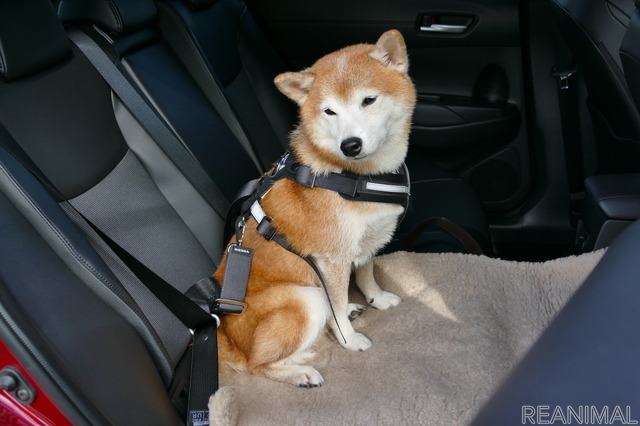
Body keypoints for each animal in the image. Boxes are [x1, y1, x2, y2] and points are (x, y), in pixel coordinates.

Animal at [214, 29, 417, 387]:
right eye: (329, 112)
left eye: (368, 100)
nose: (350, 145)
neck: (359, 177)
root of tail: (225, 334)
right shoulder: (331, 260)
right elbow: (337, 303)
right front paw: (349, 340)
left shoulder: (366, 242)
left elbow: (366, 275)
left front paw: (376, 298)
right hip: (307, 298)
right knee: (257, 364)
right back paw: (300, 372)